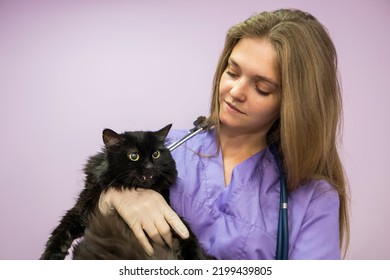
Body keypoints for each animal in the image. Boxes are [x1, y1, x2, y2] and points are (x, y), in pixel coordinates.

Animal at [40, 124, 210, 260]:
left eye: (156, 154)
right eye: (134, 156)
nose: (149, 167)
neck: (128, 187)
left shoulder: (170, 213)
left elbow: (186, 235)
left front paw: (196, 257)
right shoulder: (82, 210)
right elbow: (60, 234)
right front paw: (49, 257)